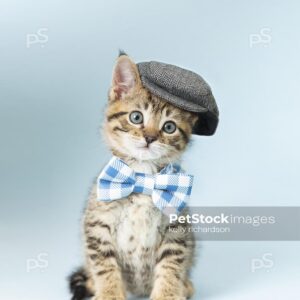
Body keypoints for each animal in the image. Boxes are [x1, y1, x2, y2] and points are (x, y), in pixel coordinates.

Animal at [69, 54, 198, 300]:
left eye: (169, 127)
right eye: (136, 117)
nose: (149, 137)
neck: (143, 178)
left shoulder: (176, 229)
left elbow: (171, 265)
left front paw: (167, 294)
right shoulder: (97, 224)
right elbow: (104, 265)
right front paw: (109, 293)